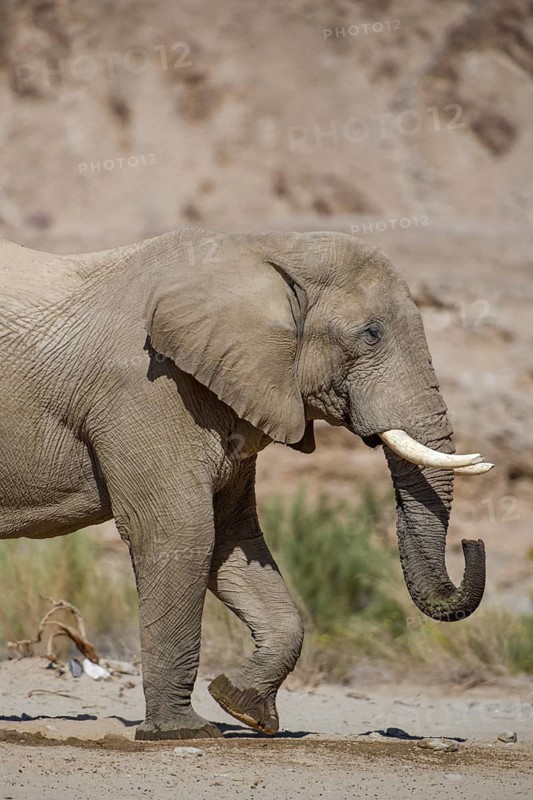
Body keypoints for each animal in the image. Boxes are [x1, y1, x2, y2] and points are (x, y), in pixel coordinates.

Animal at [0, 228, 493, 740]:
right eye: (371, 333)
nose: (472, 543)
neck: (269, 244)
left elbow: (231, 539)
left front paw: (241, 707)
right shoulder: (146, 388)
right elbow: (181, 532)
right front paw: (184, 732)